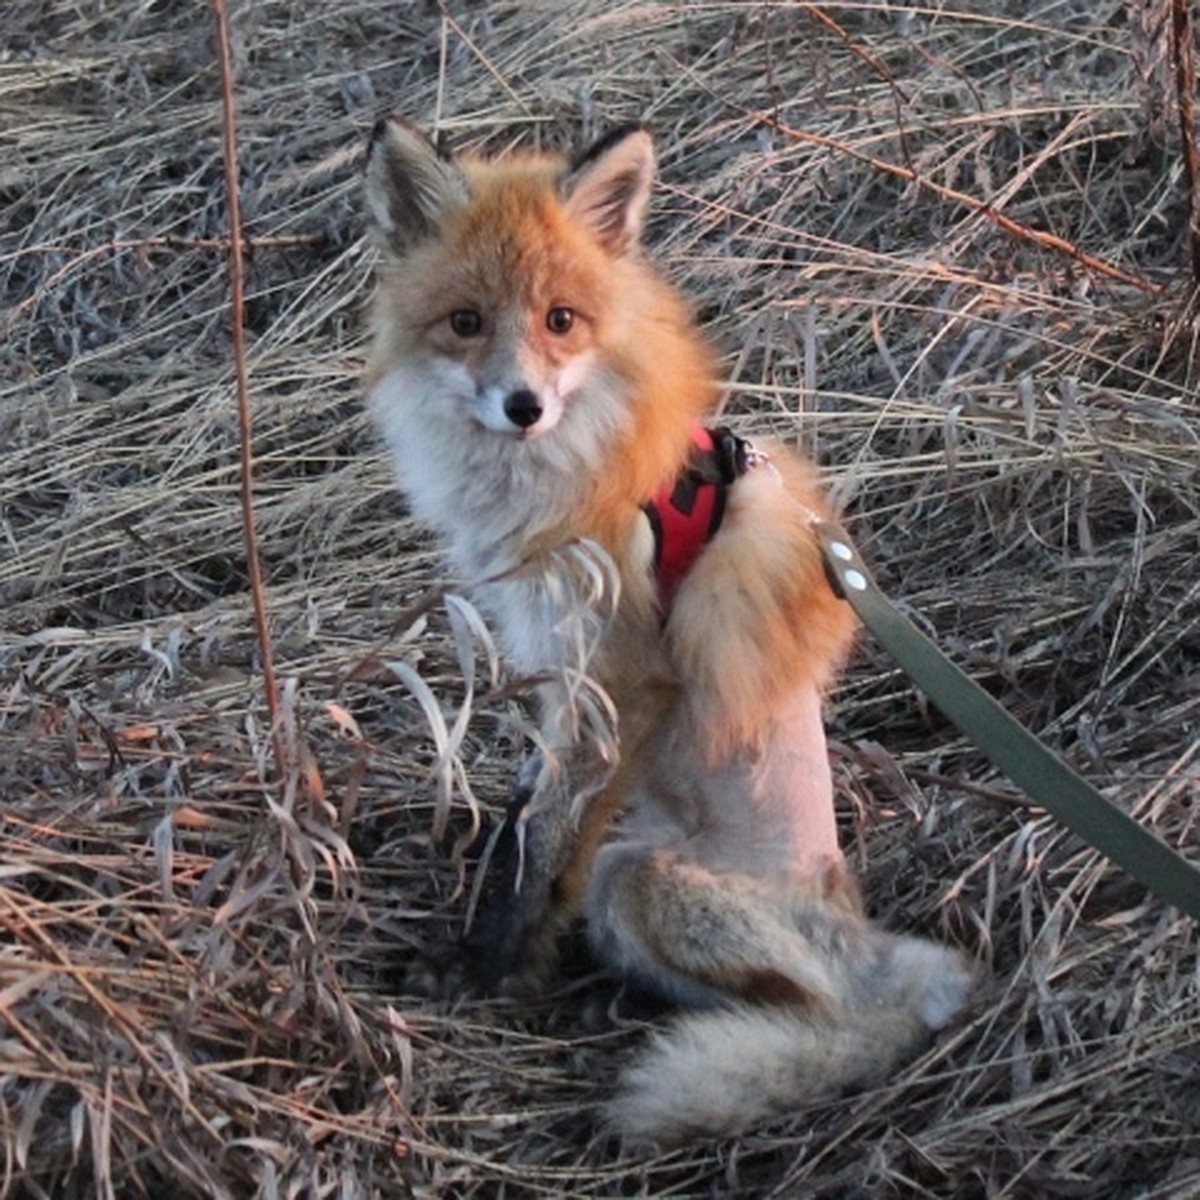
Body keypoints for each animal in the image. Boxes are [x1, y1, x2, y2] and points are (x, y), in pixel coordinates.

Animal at [360, 119, 969, 1142]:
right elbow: (523, 820)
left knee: (821, 1013)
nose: (523, 406)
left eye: (561, 320)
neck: (552, 482)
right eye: (467, 323)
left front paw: (490, 969)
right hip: (631, 873)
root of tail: (875, 950)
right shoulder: (557, 672)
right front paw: (510, 952)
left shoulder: (623, 671)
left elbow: (539, 848)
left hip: (641, 883)